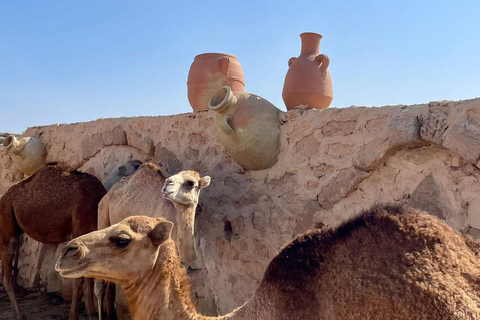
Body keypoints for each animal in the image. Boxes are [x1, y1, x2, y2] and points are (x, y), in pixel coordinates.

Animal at [0, 164, 107, 320]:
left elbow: (88, 275)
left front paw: (91, 312)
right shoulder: (80, 230)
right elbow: (78, 278)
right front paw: (74, 315)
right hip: (6, 226)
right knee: (6, 276)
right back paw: (21, 315)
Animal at [95, 164, 210, 318]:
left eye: (190, 183)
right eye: (175, 175)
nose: (168, 183)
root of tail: (107, 195)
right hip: (103, 215)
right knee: (99, 285)